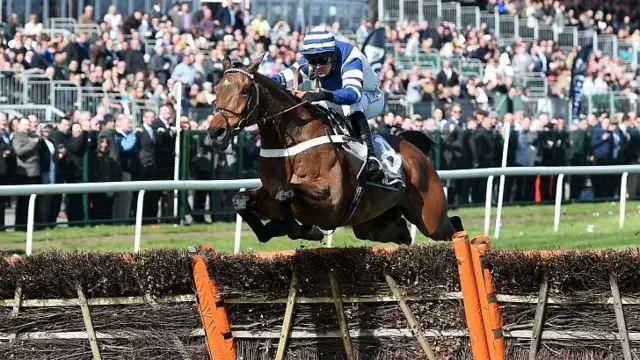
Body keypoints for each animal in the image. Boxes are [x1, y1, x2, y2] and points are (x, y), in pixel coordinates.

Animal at [208, 54, 462, 246]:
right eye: (217, 88)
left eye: (245, 90)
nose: (216, 131)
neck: (291, 145)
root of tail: (415, 151)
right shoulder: (268, 195)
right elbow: (241, 200)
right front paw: (274, 228)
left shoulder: (331, 202)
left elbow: (286, 192)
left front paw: (301, 229)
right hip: (371, 224)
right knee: (403, 234)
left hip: (430, 218)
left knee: (453, 226)